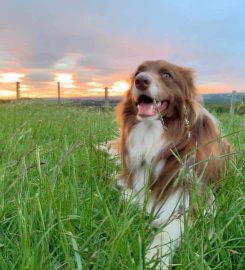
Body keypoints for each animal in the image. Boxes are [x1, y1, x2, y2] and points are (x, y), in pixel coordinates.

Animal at [105, 60, 230, 268]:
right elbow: (131, 194)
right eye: (139, 72)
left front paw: (154, 258)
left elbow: (170, 229)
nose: (141, 80)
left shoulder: (195, 197)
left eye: (167, 75)